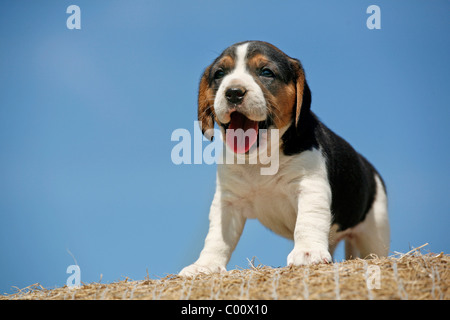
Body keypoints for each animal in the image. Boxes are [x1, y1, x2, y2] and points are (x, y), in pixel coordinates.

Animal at [179, 40, 390, 276]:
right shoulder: (227, 201)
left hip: (375, 229)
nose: (233, 92)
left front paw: (307, 253)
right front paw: (204, 265)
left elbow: (308, 221)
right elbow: (217, 237)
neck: (261, 157)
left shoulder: (310, 187)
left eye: (266, 72)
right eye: (220, 74)